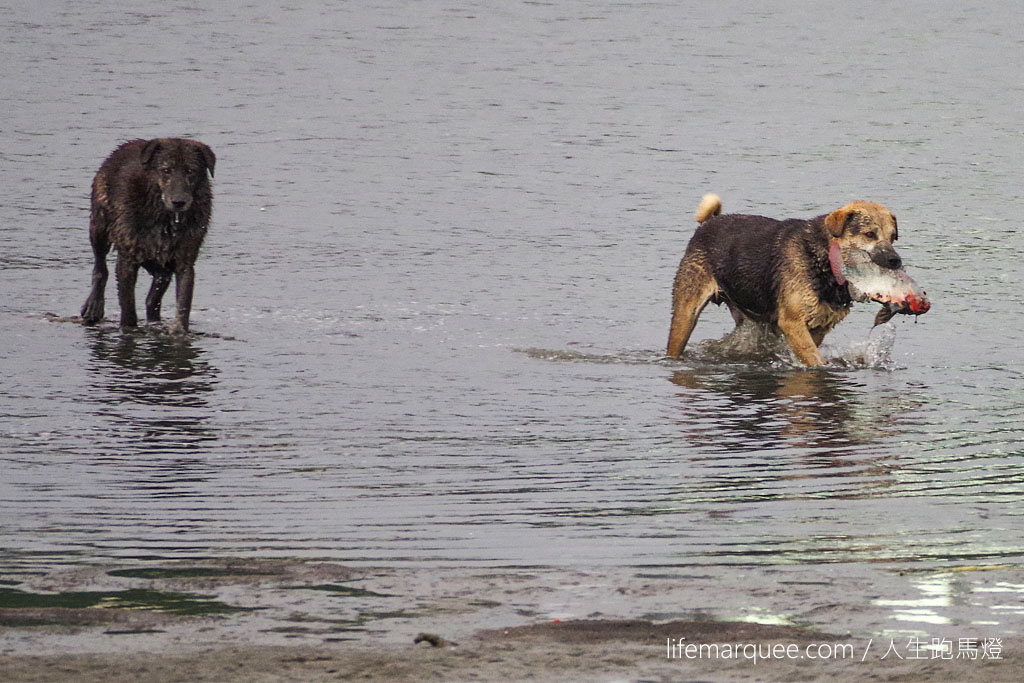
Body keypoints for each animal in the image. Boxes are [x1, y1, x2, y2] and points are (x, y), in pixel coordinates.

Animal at [80, 137, 215, 331]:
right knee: (100, 266)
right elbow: (127, 304)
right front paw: (128, 329)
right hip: (99, 226)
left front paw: (179, 331)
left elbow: (183, 303)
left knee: (156, 289)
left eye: (191, 171)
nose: (179, 202)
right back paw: (94, 306)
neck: (164, 216)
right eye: (166, 170)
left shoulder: (185, 261)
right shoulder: (127, 259)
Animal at [667, 194, 901, 368]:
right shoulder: (792, 322)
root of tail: (709, 222)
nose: (895, 261)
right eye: (869, 234)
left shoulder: (819, 327)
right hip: (685, 315)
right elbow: (813, 358)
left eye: (892, 237)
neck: (823, 259)